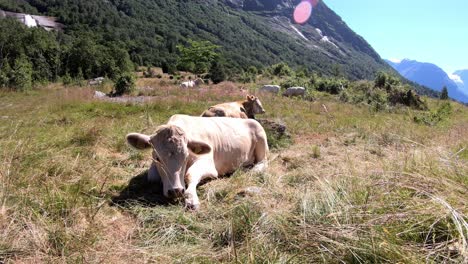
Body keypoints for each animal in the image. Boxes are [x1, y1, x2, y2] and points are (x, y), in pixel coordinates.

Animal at [126, 114, 268, 209]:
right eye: (157, 158)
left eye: (186, 156)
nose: (175, 190)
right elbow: (152, 177)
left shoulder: (209, 165)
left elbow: (190, 174)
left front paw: (191, 199)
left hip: (261, 140)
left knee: (263, 162)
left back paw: (254, 170)